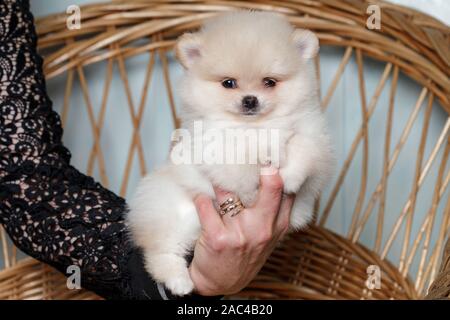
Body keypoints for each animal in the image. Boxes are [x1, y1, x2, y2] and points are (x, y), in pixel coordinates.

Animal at [126, 10, 334, 296]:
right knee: (160, 252)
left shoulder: (313, 134)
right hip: (171, 213)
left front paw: (290, 176)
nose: (250, 100)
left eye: (269, 82)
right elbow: (241, 162)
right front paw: (254, 187)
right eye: (228, 83)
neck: (255, 125)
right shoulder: (214, 146)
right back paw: (178, 281)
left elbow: (304, 148)